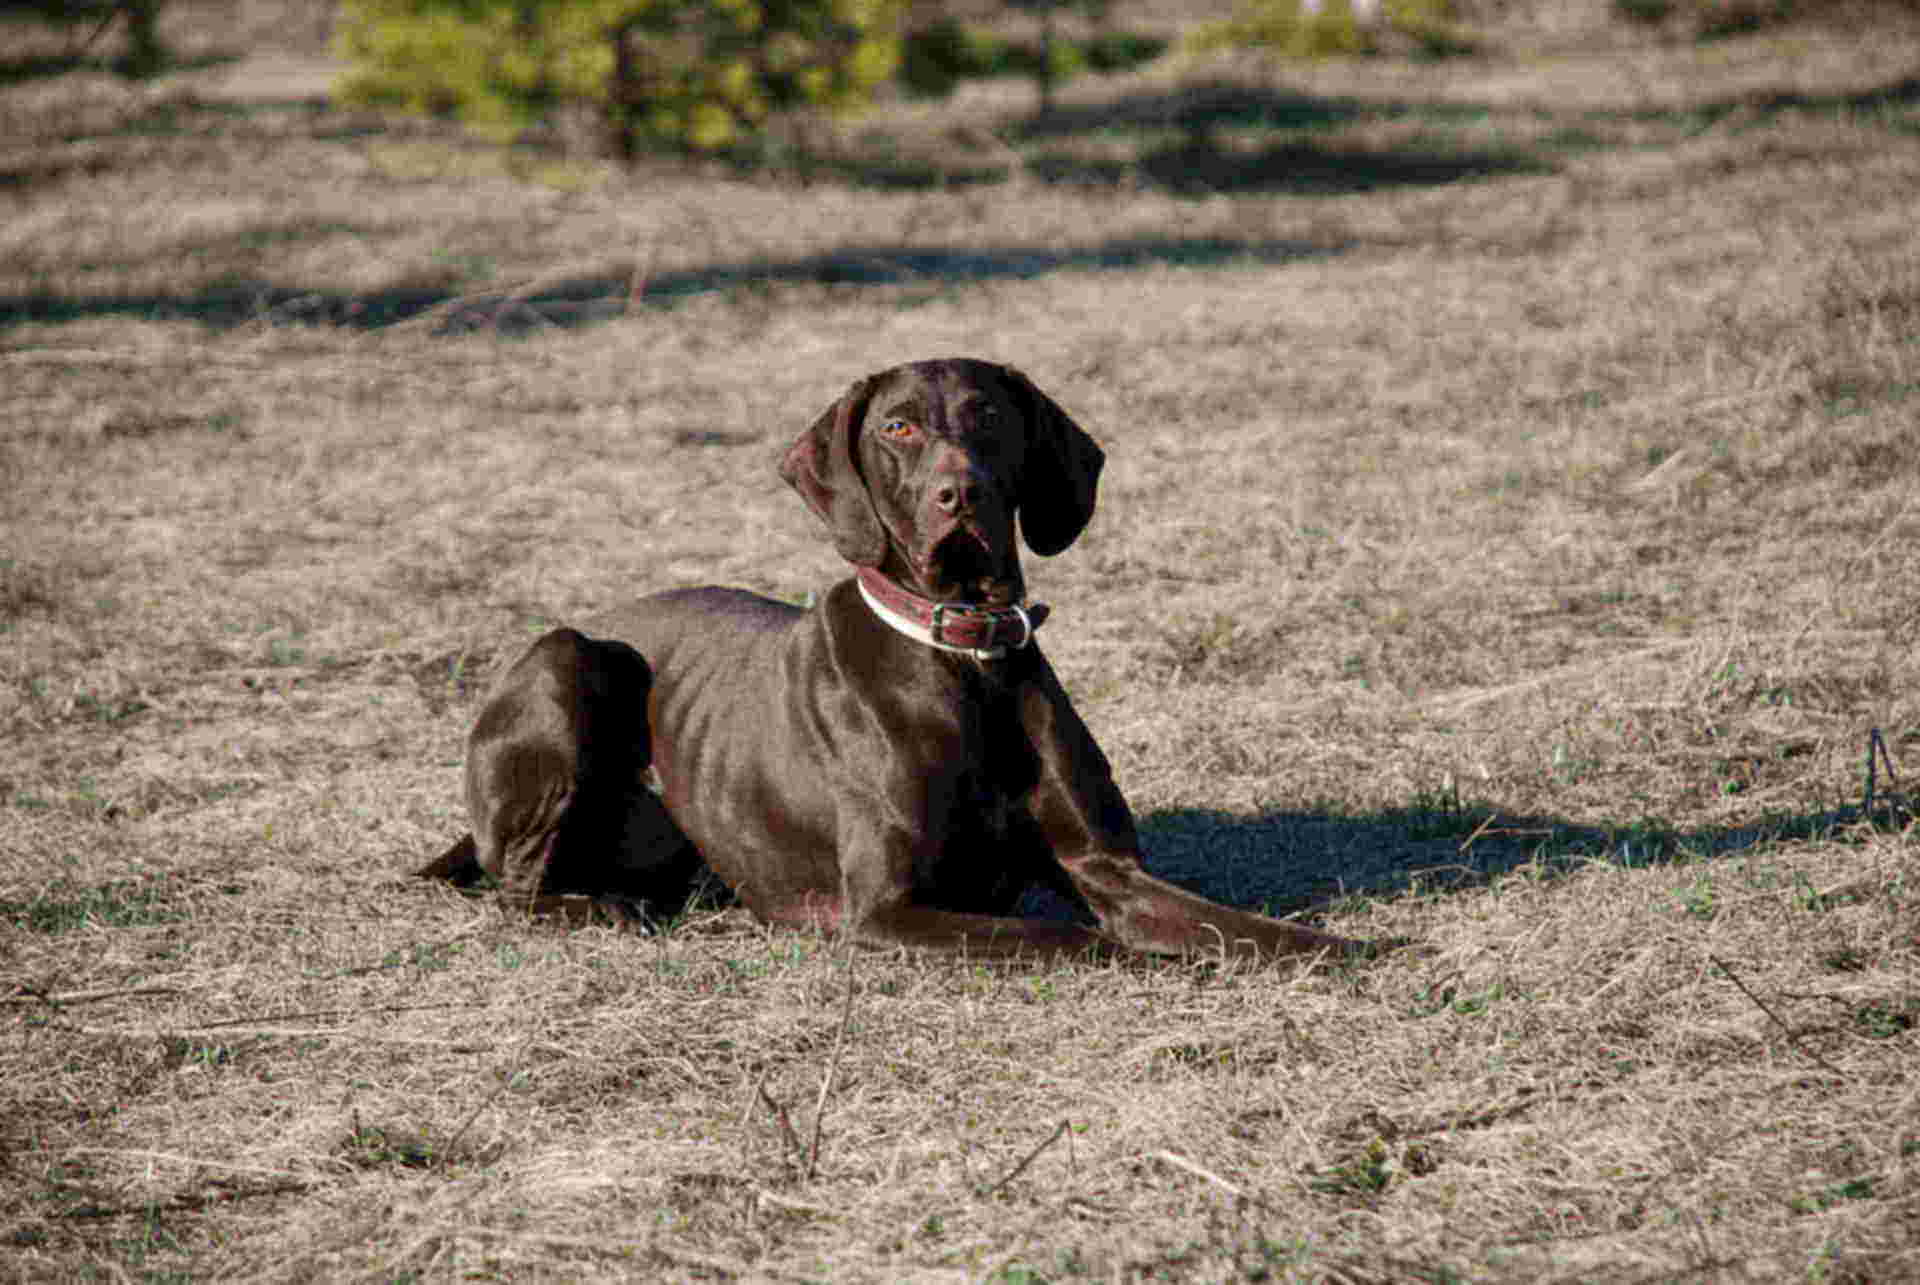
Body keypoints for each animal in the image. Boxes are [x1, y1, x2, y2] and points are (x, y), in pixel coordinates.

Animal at [424, 355, 1367, 956]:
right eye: (899, 426)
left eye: (989, 417)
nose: (961, 493)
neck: (964, 655)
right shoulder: (887, 907)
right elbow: (1073, 936)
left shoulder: (1108, 868)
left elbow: (1226, 925)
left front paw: (1343, 946)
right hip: (570, 659)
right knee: (516, 886)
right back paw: (598, 907)